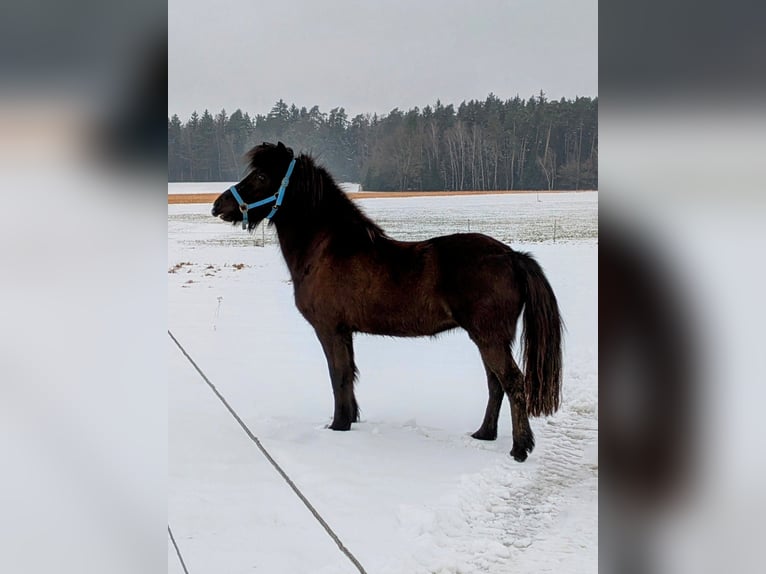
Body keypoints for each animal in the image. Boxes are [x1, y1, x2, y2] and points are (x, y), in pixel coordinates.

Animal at [212, 141, 563, 462]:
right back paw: (484, 434)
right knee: (495, 383)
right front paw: (349, 420)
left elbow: (337, 375)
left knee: (513, 382)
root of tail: (512, 256)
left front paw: (338, 427)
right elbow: (349, 374)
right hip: (490, 338)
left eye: (260, 176)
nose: (217, 205)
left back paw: (519, 449)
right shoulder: (345, 331)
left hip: (489, 336)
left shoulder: (330, 329)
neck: (327, 249)